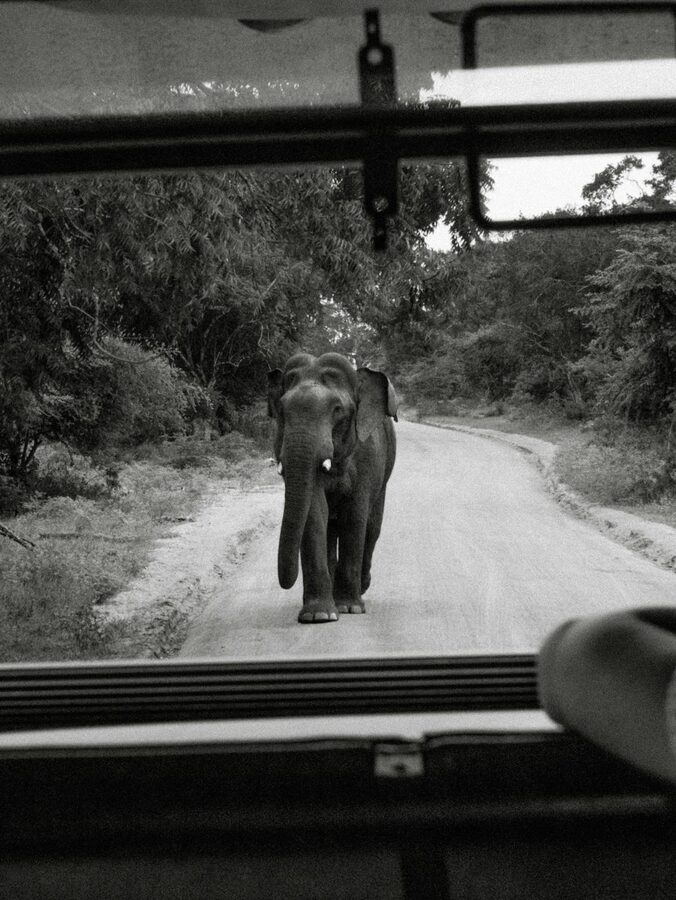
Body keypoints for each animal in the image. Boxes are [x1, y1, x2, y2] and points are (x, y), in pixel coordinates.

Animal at [267, 352, 397, 623]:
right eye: (282, 410)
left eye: (337, 410)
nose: (286, 582)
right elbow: (315, 513)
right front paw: (319, 615)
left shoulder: (368, 457)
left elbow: (354, 516)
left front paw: (350, 608)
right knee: (330, 529)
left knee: (372, 527)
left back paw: (361, 587)